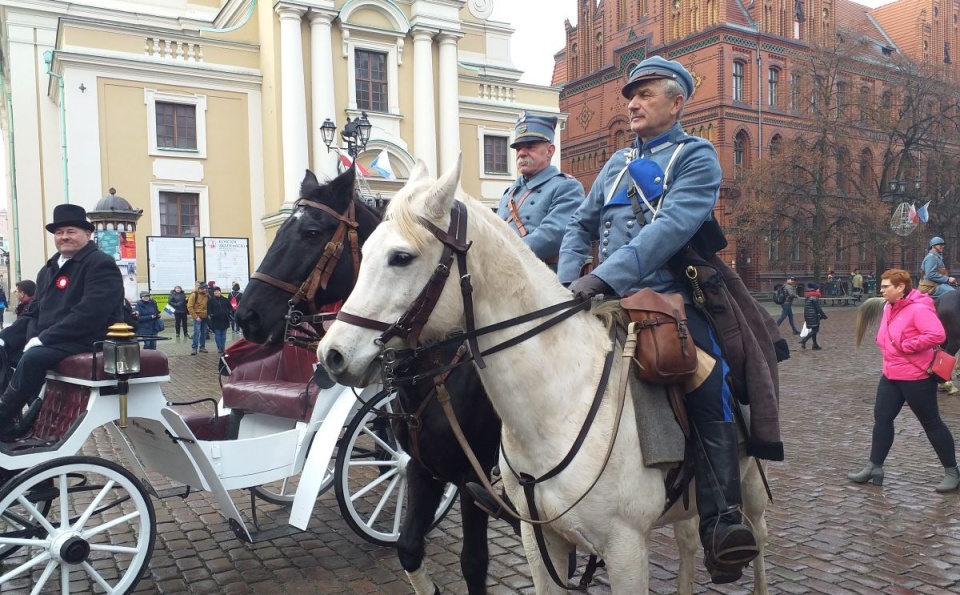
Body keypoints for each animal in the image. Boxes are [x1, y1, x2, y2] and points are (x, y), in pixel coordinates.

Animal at [237, 169, 502, 595]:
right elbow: (410, 546)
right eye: (280, 228)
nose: (247, 315)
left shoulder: (471, 473)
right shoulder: (423, 464)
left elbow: (474, 563)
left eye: (311, 232)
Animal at [318, 159, 768, 595]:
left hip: (751, 489)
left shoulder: (625, 549)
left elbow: (472, 561)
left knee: (757, 544)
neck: (561, 407)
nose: (331, 354)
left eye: (401, 257)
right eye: (364, 250)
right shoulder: (538, 540)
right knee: (689, 541)